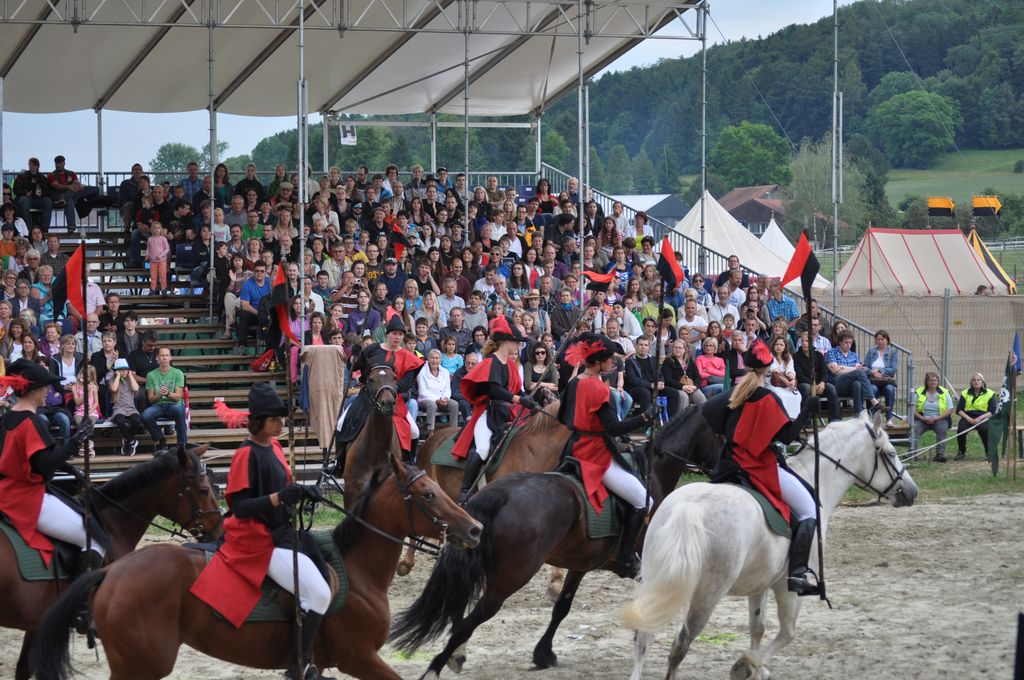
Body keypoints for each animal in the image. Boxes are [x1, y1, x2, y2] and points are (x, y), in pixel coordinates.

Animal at [30, 450, 479, 680]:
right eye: (427, 495)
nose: (474, 528)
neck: (360, 571)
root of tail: (112, 571)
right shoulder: (360, 658)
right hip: (141, 665)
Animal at [622, 409, 921, 680]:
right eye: (890, 454)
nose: (912, 491)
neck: (814, 479)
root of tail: (687, 509)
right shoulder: (788, 586)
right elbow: (788, 633)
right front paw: (748, 665)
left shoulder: (760, 583)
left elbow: (758, 627)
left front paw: (758, 669)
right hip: (707, 593)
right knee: (680, 645)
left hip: (656, 581)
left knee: (644, 637)